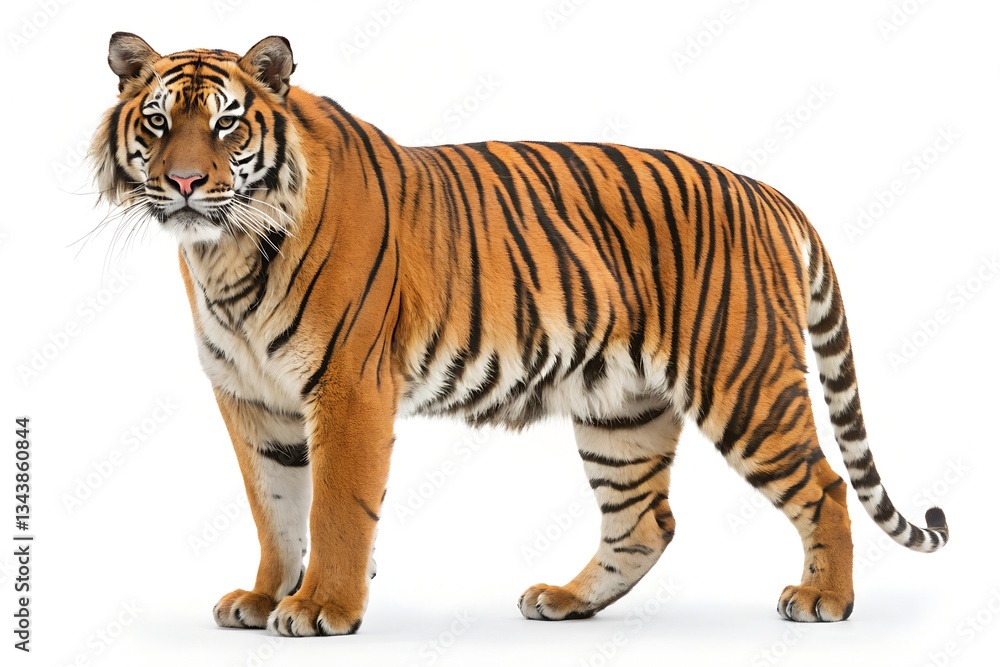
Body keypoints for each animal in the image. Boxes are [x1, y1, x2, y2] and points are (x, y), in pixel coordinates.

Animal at [90, 33, 948, 636]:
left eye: (228, 126)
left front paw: (320, 607)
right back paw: (566, 600)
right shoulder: (253, 400)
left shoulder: (347, 387)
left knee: (825, 484)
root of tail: (767, 191)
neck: (225, 251)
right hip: (620, 410)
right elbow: (274, 507)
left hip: (744, 382)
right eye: (159, 123)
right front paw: (266, 595)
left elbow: (335, 507)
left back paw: (824, 598)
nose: (185, 182)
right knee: (645, 522)